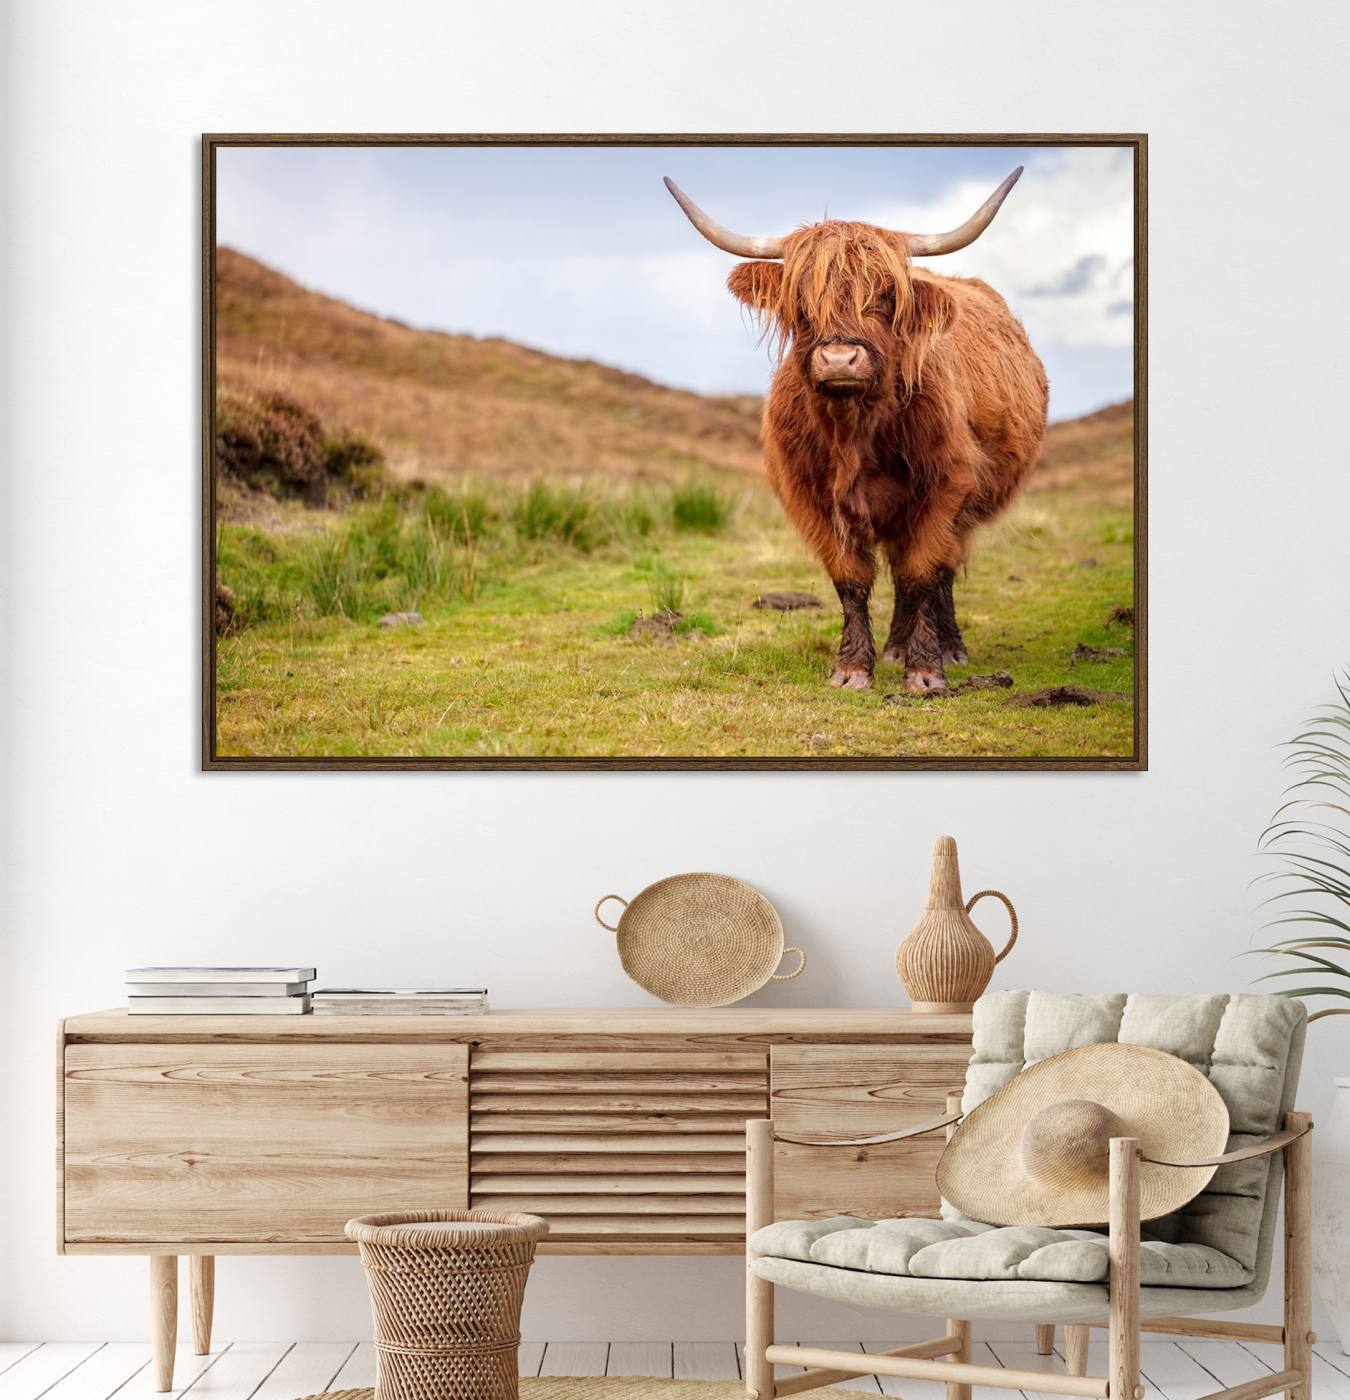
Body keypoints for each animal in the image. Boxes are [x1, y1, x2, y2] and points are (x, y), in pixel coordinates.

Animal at [665, 169, 1048, 693]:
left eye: (886, 295)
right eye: (801, 299)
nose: (840, 359)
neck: (854, 433)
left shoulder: (945, 487)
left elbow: (922, 572)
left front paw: (926, 672)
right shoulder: (814, 499)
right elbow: (851, 579)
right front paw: (852, 668)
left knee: (939, 572)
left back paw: (947, 646)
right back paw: (894, 647)